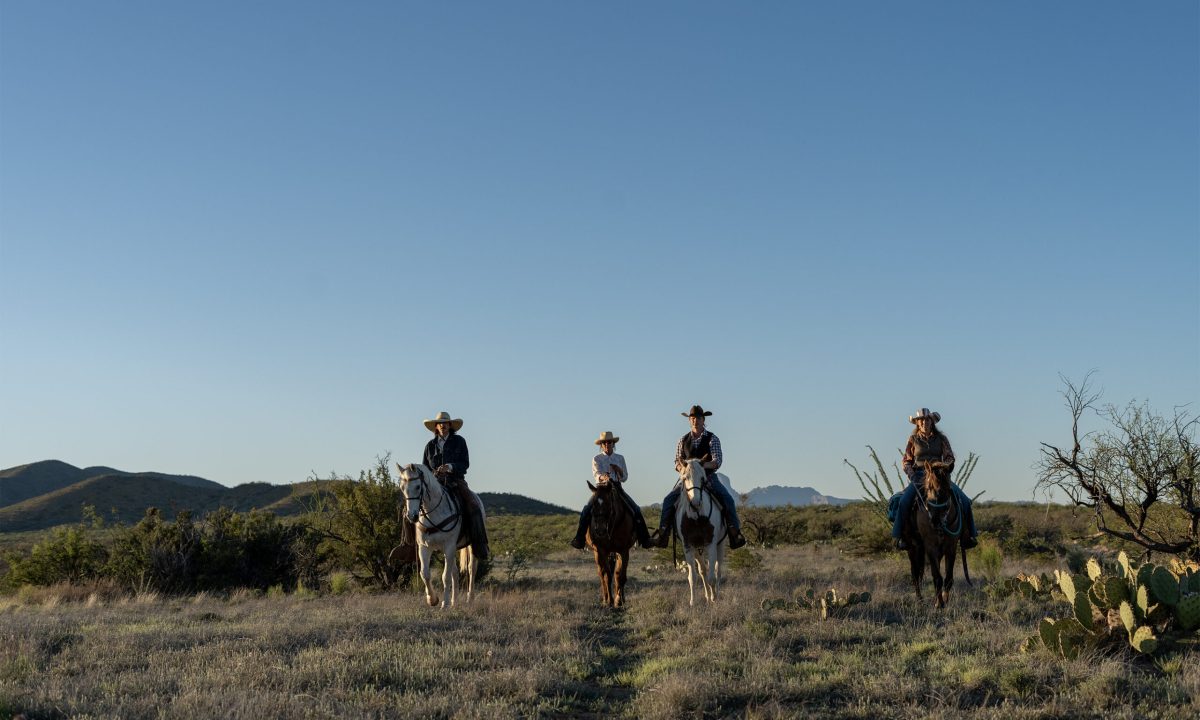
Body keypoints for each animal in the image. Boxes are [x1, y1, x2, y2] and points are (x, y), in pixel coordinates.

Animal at [398, 460, 482, 607]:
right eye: (402, 488)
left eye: (418, 487)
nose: (412, 516)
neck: (434, 513)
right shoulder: (424, 547)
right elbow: (425, 574)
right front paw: (433, 599)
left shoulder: (449, 546)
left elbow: (445, 576)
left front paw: (445, 604)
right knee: (455, 572)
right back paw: (454, 601)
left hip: (470, 546)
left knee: (472, 569)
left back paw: (469, 599)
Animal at [583, 477, 638, 607]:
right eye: (593, 504)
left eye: (608, 504)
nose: (600, 530)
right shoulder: (601, 550)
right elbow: (607, 575)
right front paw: (609, 601)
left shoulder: (623, 551)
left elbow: (620, 576)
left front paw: (619, 600)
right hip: (597, 553)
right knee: (601, 574)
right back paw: (605, 598)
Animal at [672, 458, 724, 604]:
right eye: (685, 478)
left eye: (703, 478)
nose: (695, 502)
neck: (696, 517)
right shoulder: (688, 546)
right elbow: (693, 577)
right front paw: (693, 602)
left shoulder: (711, 544)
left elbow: (712, 577)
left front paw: (714, 599)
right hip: (697, 549)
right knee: (703, 570)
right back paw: (707, 594)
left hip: (720, 544)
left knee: (717, 571)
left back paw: (716, 594)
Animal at [902, 460, 969, 607]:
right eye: (929, 486)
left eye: (948, 488)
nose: (936, 519)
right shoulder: (930, 546)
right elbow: (936, 577)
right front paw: (939, 605)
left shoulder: (951, 546)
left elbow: (948, 578)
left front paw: (943, 600)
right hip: (912, 547)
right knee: (915, 574)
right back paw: (920, 600)